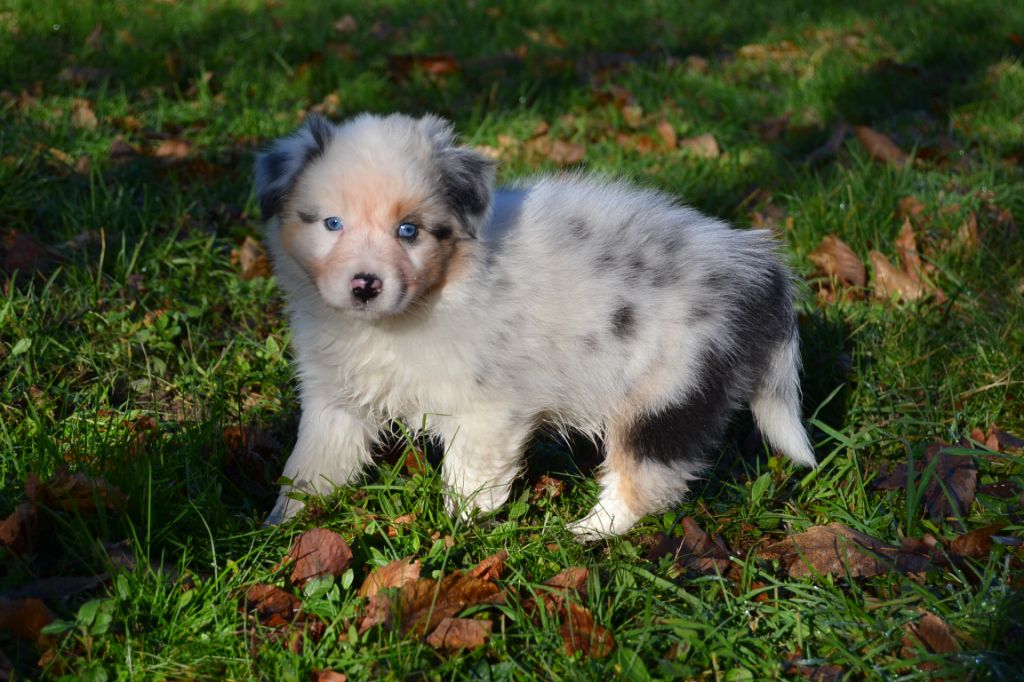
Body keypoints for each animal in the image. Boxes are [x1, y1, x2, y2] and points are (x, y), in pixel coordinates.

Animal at [251, 111, 811, 536]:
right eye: (332, 223)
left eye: (408, 231)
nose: (365, 285)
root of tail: (755, 267)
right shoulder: (335, 393)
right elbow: (312, 461)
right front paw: (281, 525)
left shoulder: (490, 409)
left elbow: (469, 476)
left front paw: (457, 531)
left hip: (665, 390)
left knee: (649, 477)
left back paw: (587, 531)